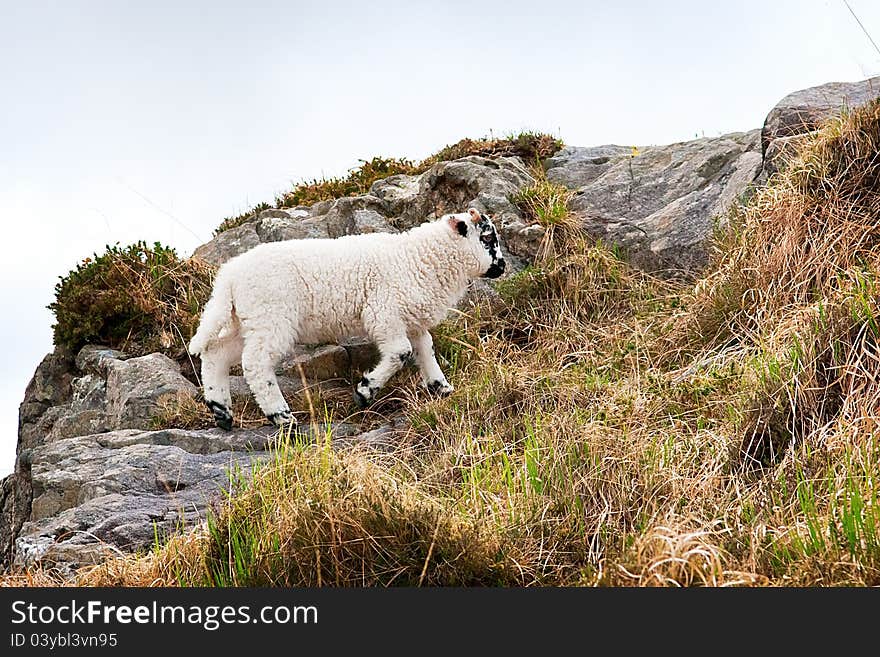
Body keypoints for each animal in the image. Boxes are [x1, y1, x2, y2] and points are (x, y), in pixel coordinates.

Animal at [189, 206, 506, 430]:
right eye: (487, 237)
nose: (502, 267)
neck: (419, 258)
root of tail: (228, 275)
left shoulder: (411, 320)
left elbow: (425, 351)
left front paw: (442, 389)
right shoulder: (384, 313)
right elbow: (401, 353)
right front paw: (365, 391)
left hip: (245, 321)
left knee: (215, 353)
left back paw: (221, 412)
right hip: (270, 319)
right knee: (255, 365)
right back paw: (281, 417)